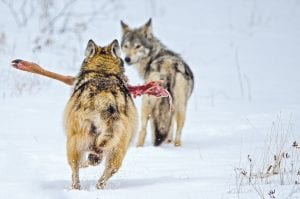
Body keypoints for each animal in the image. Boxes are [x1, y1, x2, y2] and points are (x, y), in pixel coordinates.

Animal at [64, 39, 138, 190]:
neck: (102, 72)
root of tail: (104, 98)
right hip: (118, 145)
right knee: (108, 170)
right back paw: (98, 184)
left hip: (75, 140)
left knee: (76, 168)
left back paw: (76, 186)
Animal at [120, 18, 195, 146]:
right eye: (126, 46)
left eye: (138, 46)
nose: (127, 59)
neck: (154, 56)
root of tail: (167, 67)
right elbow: (169, 128)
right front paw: (168, 141)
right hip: (181, 107)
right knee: (178, 133)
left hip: (146, 103)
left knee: (143, 129)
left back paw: (139, 146)